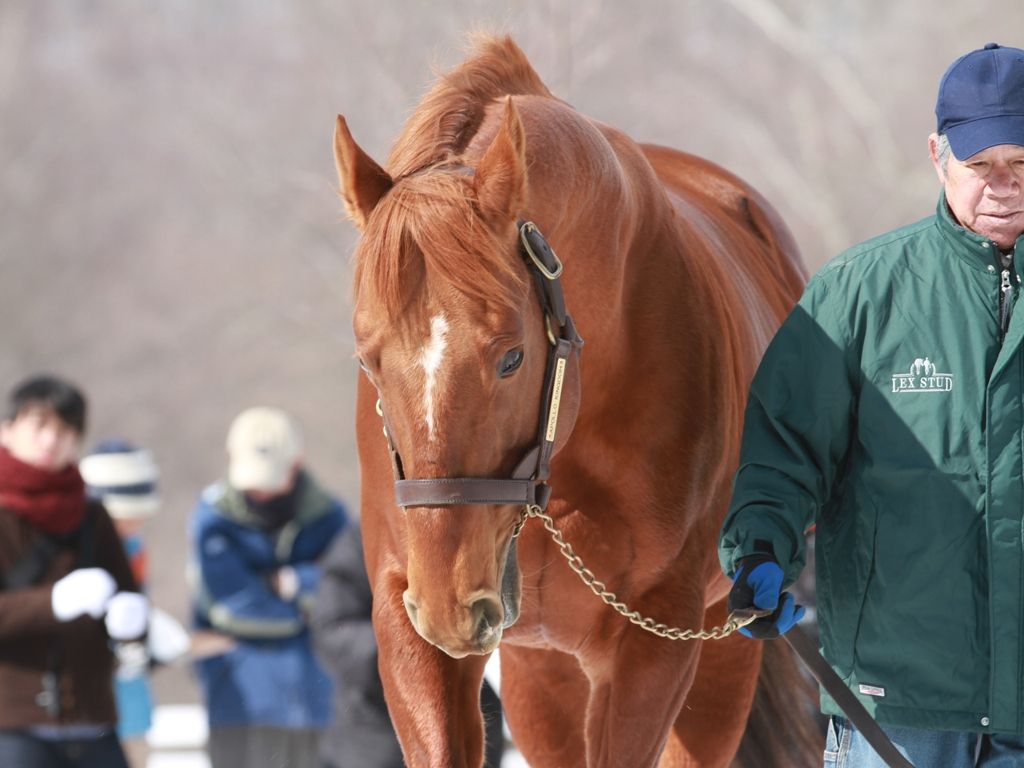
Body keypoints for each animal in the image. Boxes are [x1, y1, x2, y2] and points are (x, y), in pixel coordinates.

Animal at [339, 36, 819, 768]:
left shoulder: (657, 633)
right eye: (368, 358)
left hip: (720, 648)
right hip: (543, 667)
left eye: (510, 356)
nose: (451, 602)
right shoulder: (407, 619)